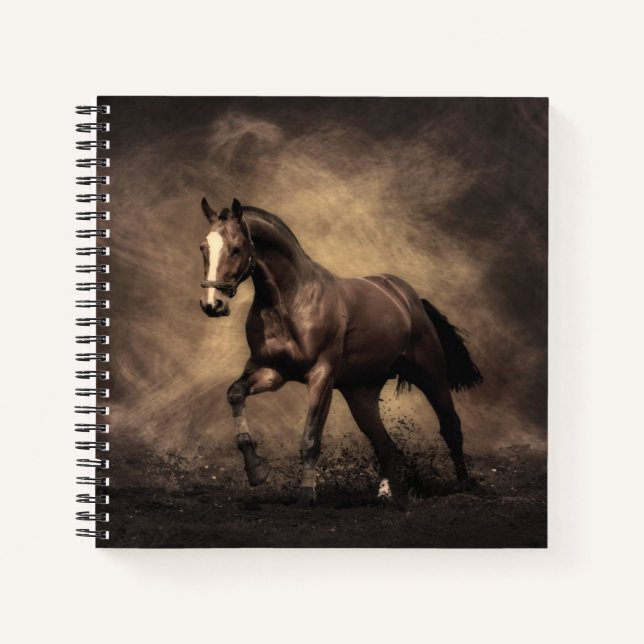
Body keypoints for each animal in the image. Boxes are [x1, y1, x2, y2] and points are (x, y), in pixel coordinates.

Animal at [199, 197, 483, 507]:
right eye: (203, 247)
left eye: (236, 249)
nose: (212, 304)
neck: (291, 301)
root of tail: (409, 298)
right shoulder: (272, 371)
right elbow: (235, 394)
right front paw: (257, 471)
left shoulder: (321, 376)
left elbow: (311, 437)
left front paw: (306, 494)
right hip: (361, 394)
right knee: (385, 445)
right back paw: (385, 494)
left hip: (431, 376)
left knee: (450, 427)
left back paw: (465, 485)